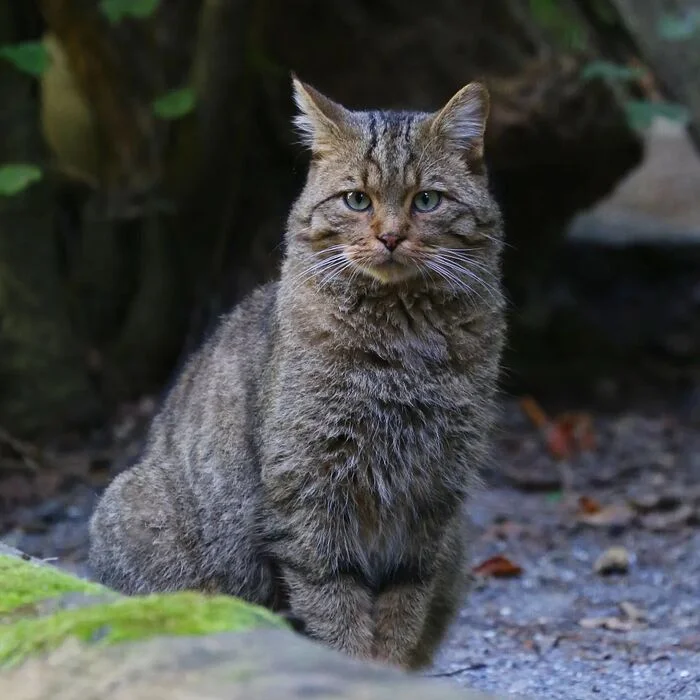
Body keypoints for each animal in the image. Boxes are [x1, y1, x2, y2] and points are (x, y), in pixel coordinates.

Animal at [87, 74, 506, 668]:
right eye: (357, 199)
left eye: (427, 199)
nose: (390, 236)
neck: (401, 343)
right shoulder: (310, 491)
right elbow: (333, 608)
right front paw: (354, 669)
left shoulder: (433, 499)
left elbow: (402, 610)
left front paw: (389, 671)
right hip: (136, 511)